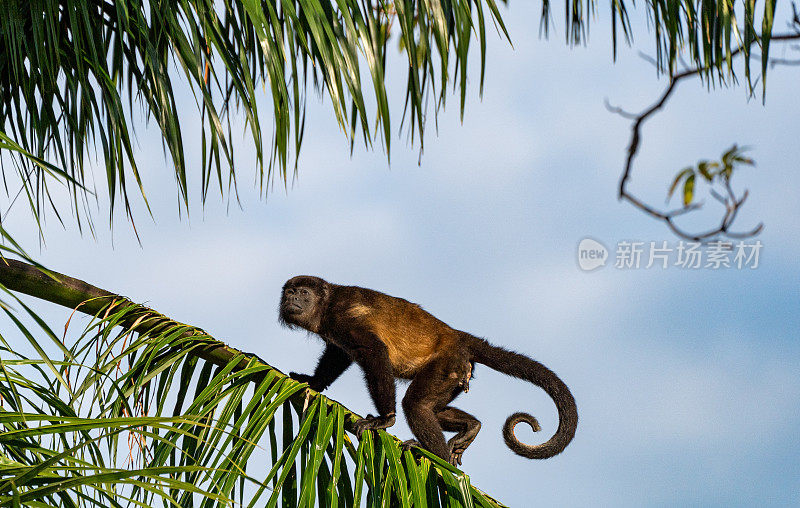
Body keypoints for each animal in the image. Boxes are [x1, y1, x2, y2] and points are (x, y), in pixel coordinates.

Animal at [278, 276, 580, 466]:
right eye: (290, 292)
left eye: (303, 293)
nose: (292, 298)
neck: (326, 305)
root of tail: (460, 339)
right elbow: (337, 355)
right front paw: (314, 382)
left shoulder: (342, 315)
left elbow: (375, 353)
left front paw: (385, 420)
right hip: (458, 375)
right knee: (433, 408)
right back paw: (471, 427)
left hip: (446, 365)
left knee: (416, 404)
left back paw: (436, 455)